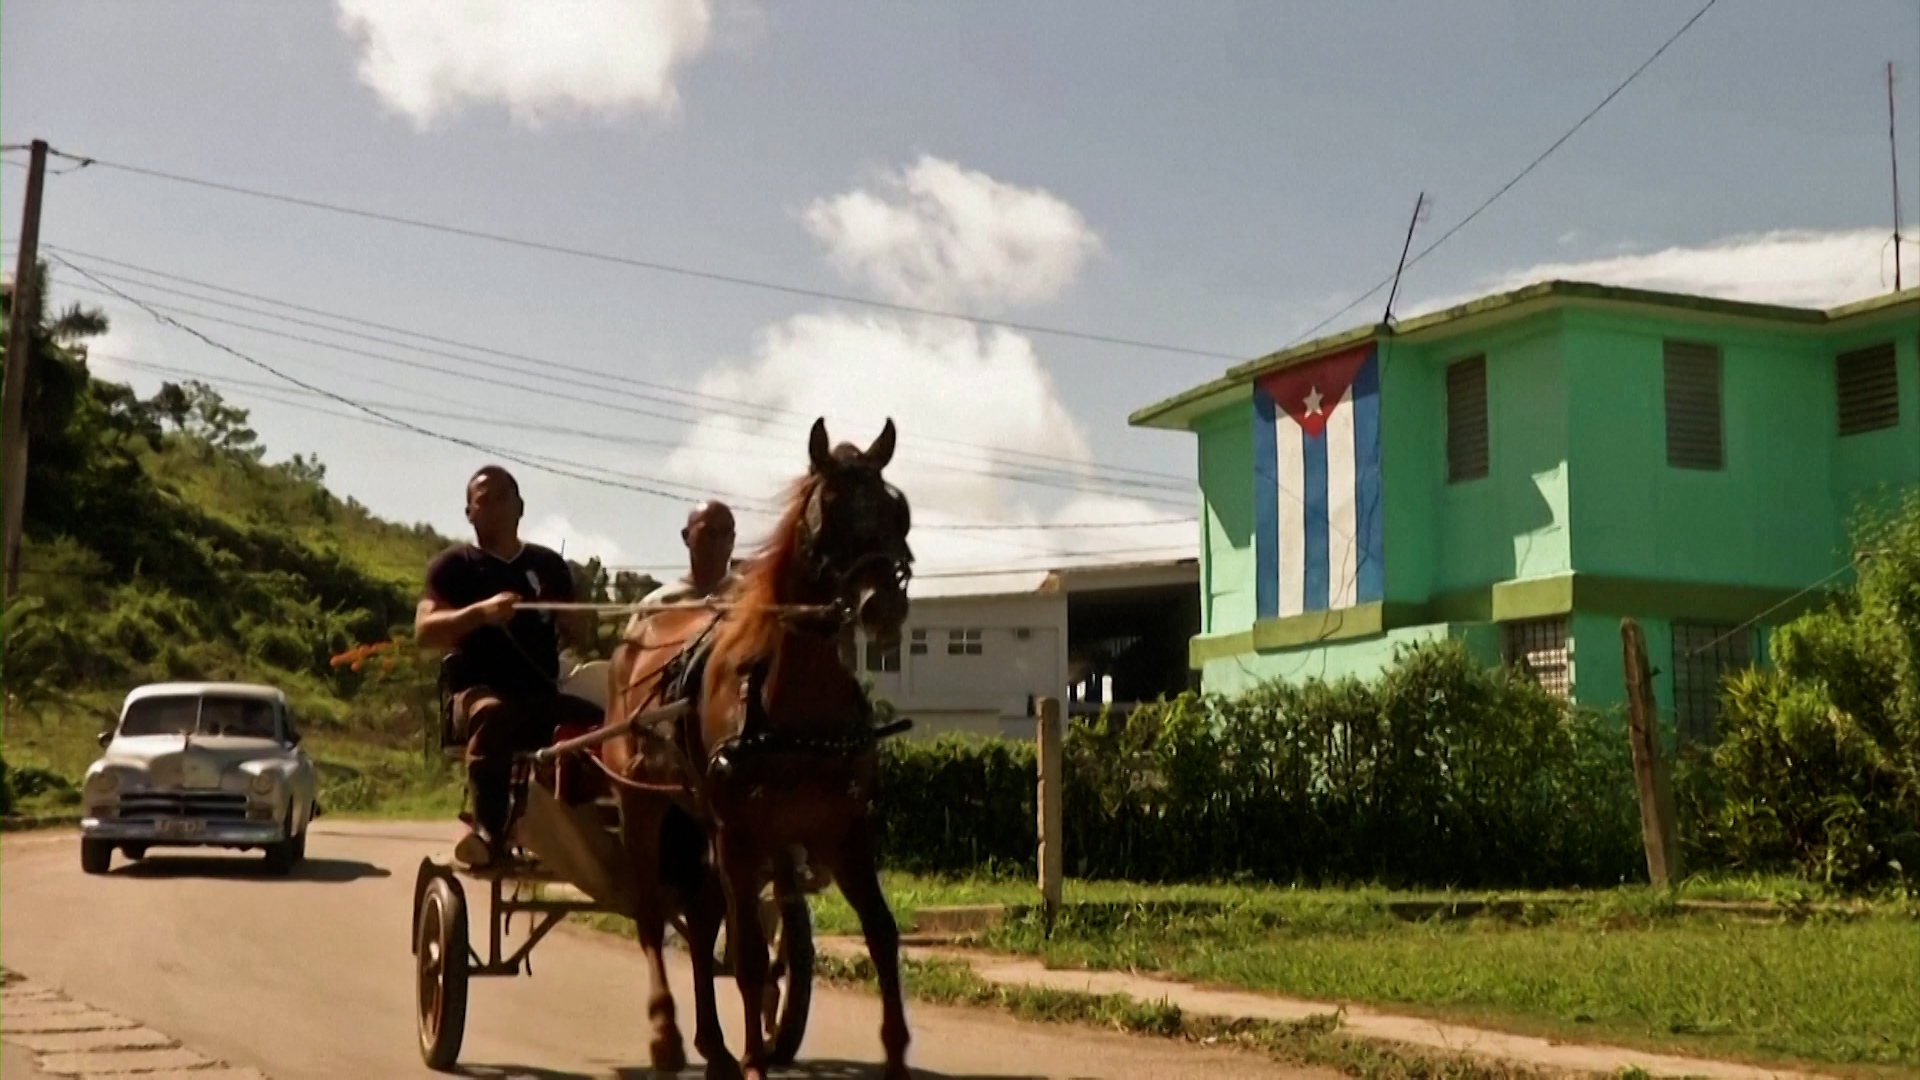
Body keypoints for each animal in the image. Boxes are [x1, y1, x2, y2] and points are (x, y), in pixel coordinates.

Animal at [606, 413, 921, 1076]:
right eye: (828, 511)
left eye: (896, 511)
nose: (883, 605)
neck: (790, 699)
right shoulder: (741, 834)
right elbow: (750, 956)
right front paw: (756, 1058)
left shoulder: (842, 830)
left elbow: (881, 934)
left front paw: (895, 1053)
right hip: (645, 806)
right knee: (653, 918)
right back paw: (669, 1035)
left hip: (703, 824)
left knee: (702, 919)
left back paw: (713, 1045)